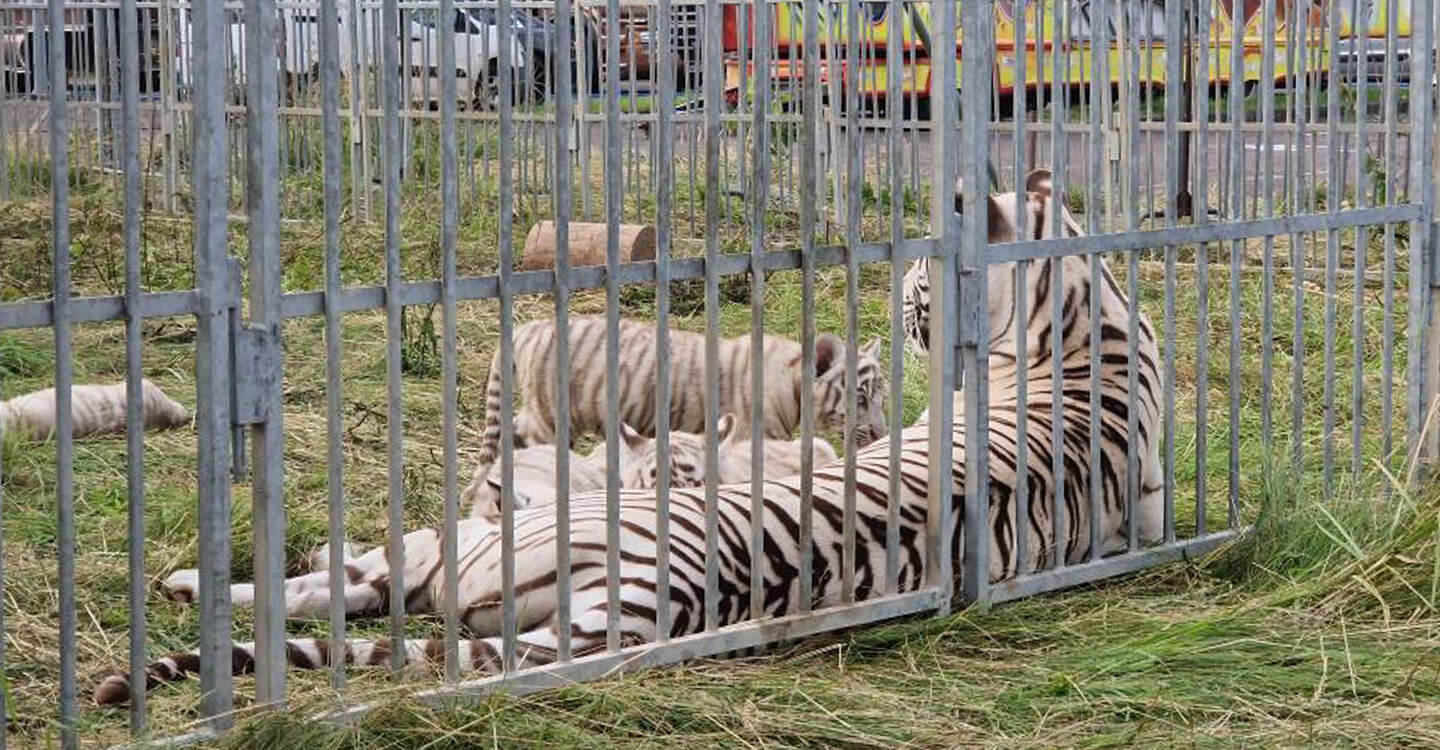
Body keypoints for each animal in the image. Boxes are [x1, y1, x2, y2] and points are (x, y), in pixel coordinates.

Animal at [90, 168, 1163, 702]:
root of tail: (642, 610)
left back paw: (195, 585)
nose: (906, 295)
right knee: (346, 590)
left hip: (469, 547)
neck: (1087, 316)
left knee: (334, 581)